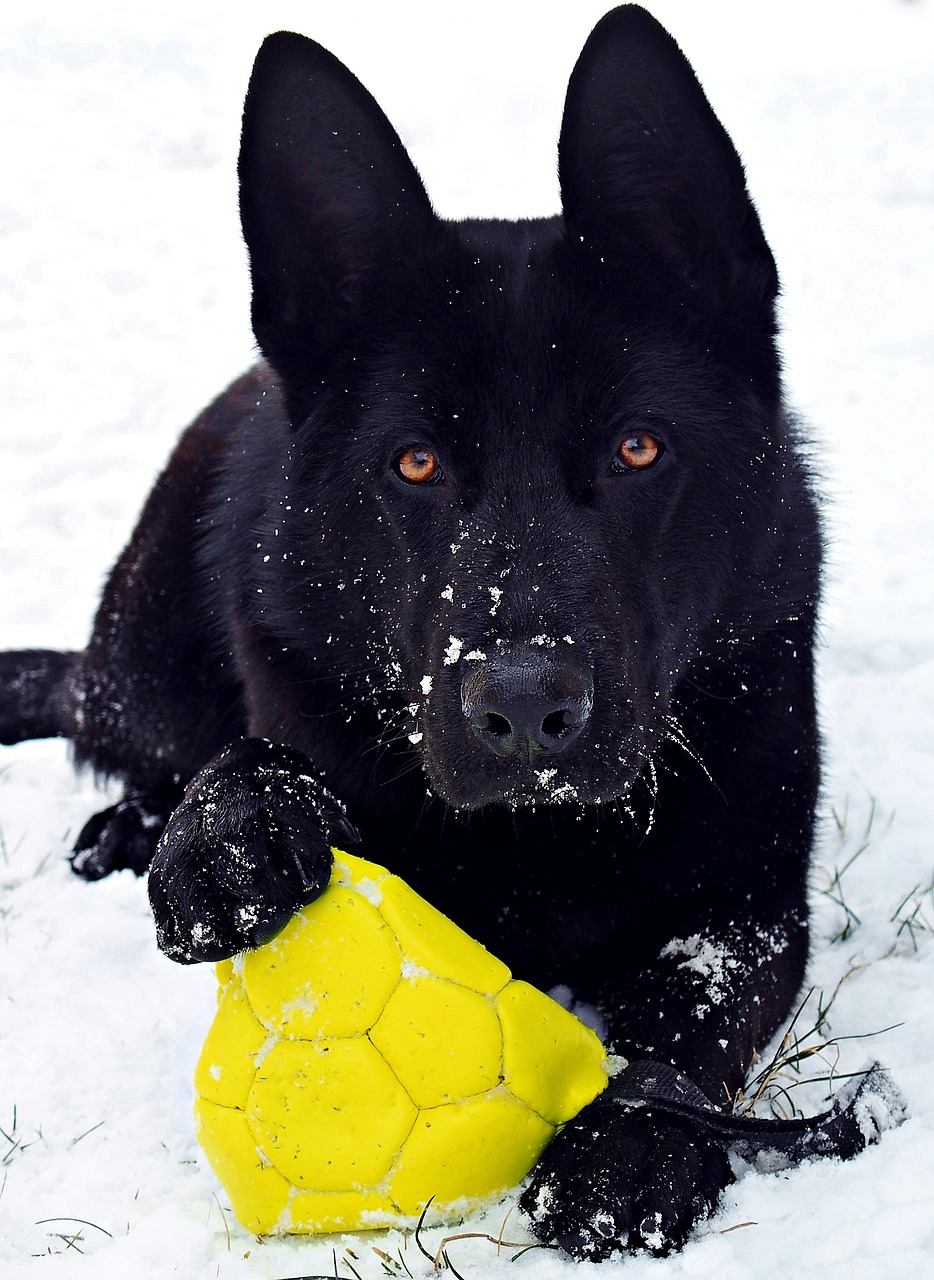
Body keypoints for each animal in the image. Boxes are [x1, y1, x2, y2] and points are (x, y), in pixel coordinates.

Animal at [0, 0, 849, 1259]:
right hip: (147, 653)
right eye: (414, 463)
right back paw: (133, 825)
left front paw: (631, 1140)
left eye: (637, 447)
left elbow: (690, 1008)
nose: (527, 705)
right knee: (123, 732)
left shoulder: (745, 901)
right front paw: (233, 827)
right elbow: (253, 759)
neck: (544, 839)